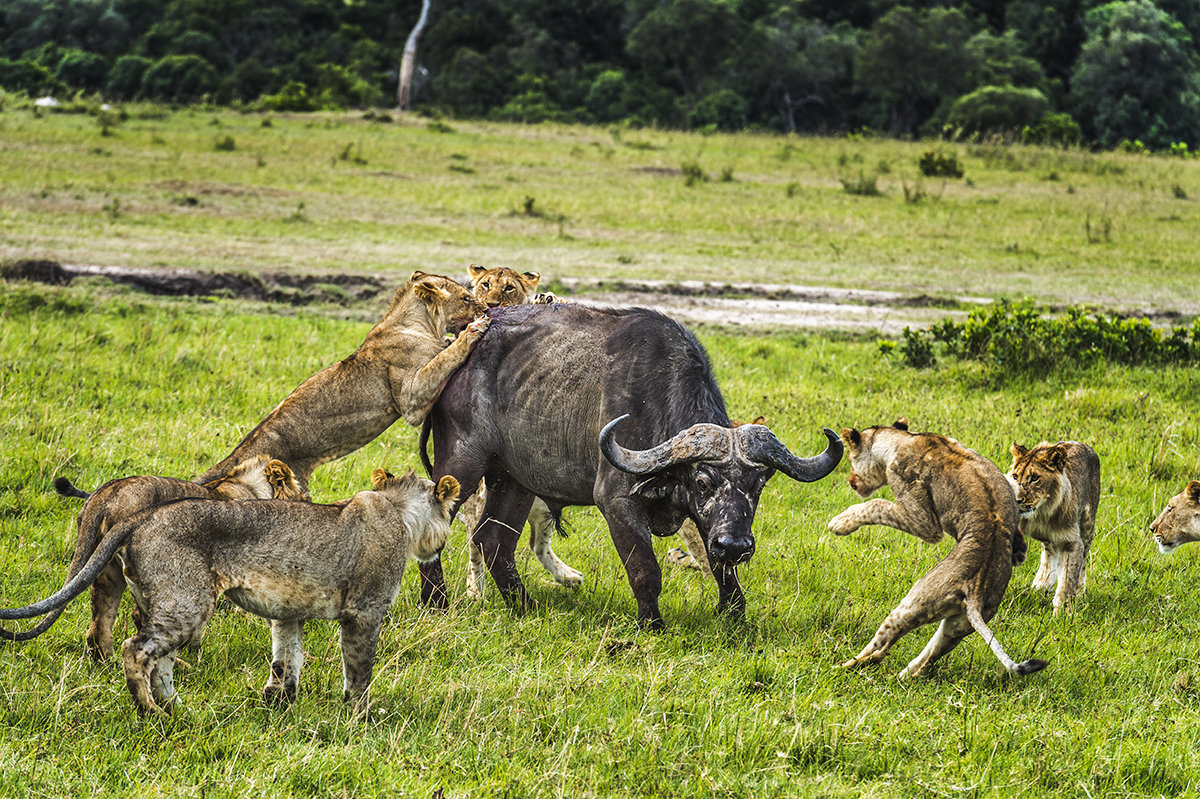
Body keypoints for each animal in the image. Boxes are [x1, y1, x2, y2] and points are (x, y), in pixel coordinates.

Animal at [1, 467, 458, 715]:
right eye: (450, 509)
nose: (441, 544)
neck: (400, 512)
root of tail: (138, 517)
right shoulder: (364, 611)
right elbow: (359, 672)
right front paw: (359, 717)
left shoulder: (287, 610)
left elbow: (286, 659)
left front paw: (277, 703)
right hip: (187, 601)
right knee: (137, 649)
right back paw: (150, 712)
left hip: (159, 598)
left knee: (154, 657)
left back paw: (175, 710)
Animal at [422, 302, 844, 623]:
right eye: (703, 482)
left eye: (757, 486)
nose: (737, 544)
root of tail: (454, 355)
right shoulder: (617, 502)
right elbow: (645, 569)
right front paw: (652, 624)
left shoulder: (709, 523)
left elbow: (722, 571)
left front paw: (734, 616)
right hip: (463, 462)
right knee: (438, 528)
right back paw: (435, 602)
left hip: (514, 479)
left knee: (495, 541)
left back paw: (524, 606)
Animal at [830, 419, 1046, 676]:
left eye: (851, 461)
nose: (851, 482)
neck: (903, 439)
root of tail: (976, 588)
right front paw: (1019, 551)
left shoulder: (923, 520)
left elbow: (877, 505)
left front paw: (840, 523)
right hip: (959, 625)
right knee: (929, 657)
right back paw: (903, 675)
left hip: (913, 602)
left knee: (880, 647)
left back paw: (843, 666)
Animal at [1008, 439, 1099, 607]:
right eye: (1015, 476)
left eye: (1034, 478)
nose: (1016, 500)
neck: (1041, 513)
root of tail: (1081, 443)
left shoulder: (1073, 542)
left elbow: (1067, 581)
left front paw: (1063, 611)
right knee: (1049, 552)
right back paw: (1040, 586)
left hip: (1088, 525)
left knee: (1083, 560)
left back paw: (1079, 592)